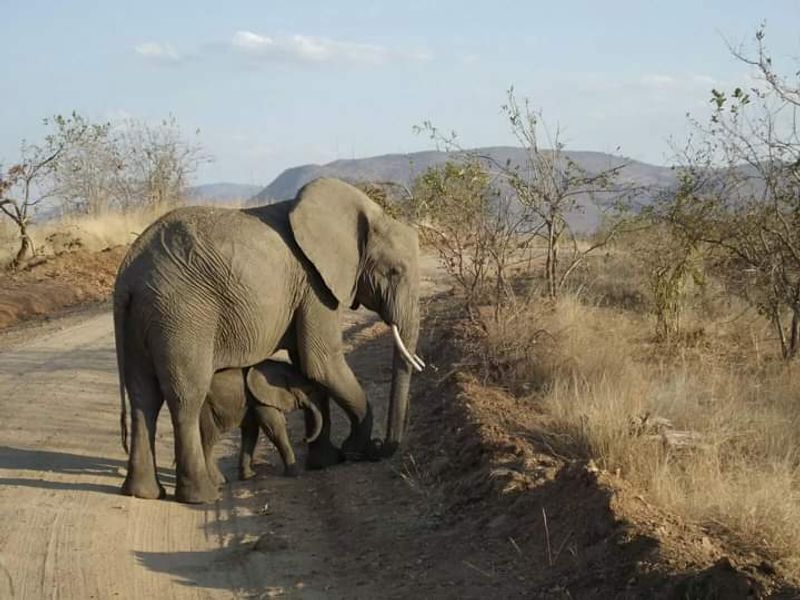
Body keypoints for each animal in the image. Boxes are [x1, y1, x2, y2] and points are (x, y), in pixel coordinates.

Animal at [116, 177, 424, 502]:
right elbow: (322, 364)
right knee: (186, 397)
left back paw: (143, 493)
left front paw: (327, 461)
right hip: (181, 316)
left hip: (143, 318)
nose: (379, 447)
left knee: (143, 396)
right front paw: (353, 451)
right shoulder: (314, 285)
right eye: (395, 271)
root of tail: (127, 277)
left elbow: (309, 369)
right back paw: (202, 496)